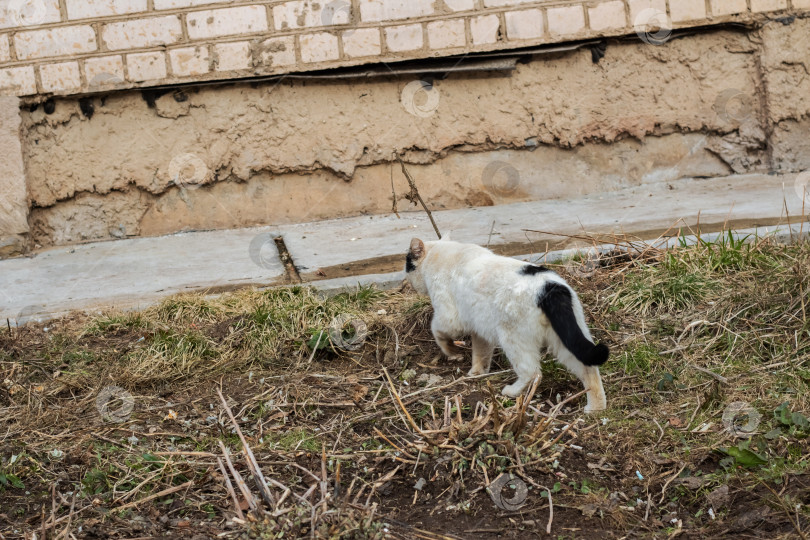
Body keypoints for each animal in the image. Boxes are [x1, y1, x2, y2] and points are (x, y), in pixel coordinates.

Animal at [404, 238, 608, 412]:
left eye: (407, 266)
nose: (408, 283)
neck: (440, 254)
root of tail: (550, 288)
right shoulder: (480, 331)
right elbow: (480, 355)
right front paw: (476, 372)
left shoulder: (449, 318)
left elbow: (437, 331)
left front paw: (451, 351)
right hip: (567, 337)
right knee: (589, 370)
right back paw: (595, 408)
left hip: (513, 339)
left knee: (532, 372)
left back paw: (512, 391)